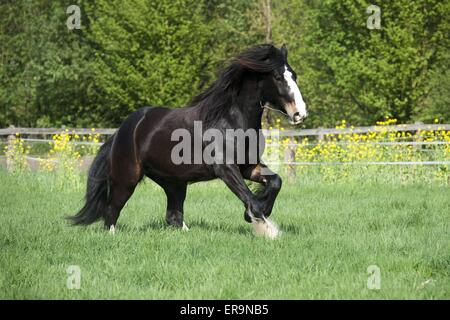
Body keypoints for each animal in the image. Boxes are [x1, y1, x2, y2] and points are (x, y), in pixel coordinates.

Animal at [69, 44, 306, 235]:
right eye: (277, 77)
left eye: (294, 75)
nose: (300, 113)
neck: (230, 121)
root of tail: (123, 130)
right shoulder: (226, 168)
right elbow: (250, 199)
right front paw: (266, 228)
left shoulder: (248, 166)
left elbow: (275, 182)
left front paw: (255, 214)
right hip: (127, 179)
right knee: (112, 211)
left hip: (174, 182)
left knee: (173, 216)